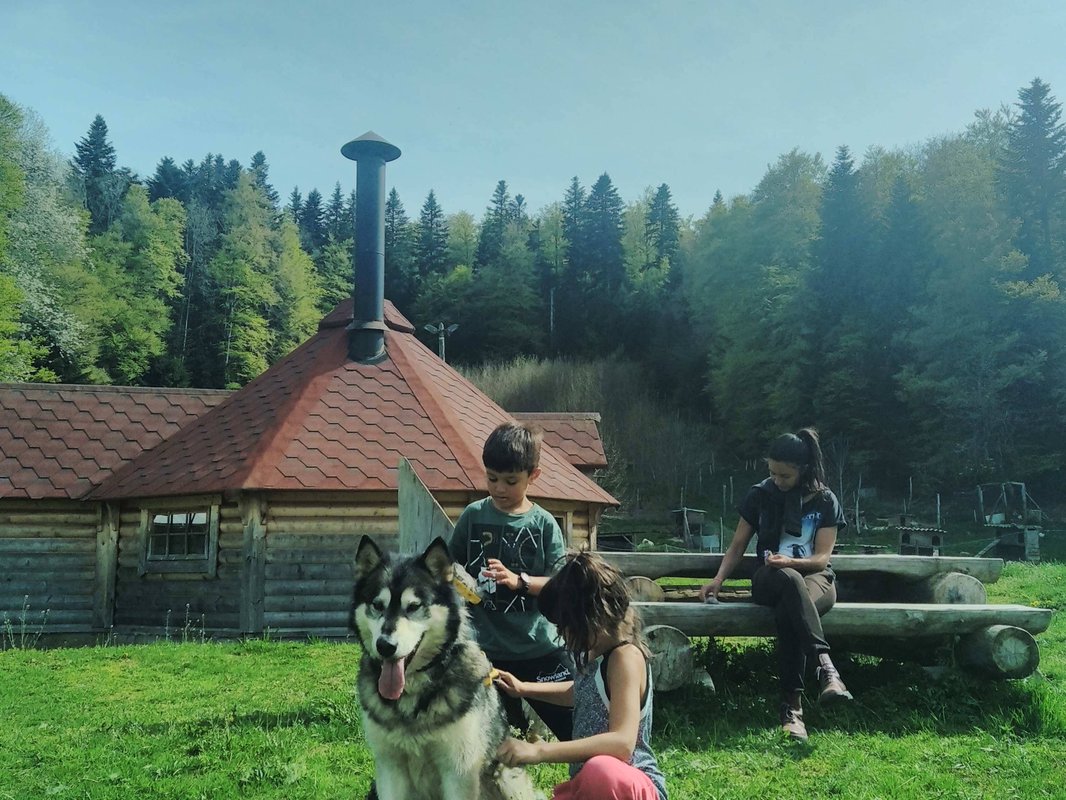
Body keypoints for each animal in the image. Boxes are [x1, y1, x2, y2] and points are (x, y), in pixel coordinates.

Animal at [353, 539, 541, 800]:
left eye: (414, 606)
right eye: (377, 605)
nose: (385, 646)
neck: (412, 697)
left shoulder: (459, 770)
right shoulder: (390, 766)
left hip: (507, 779)